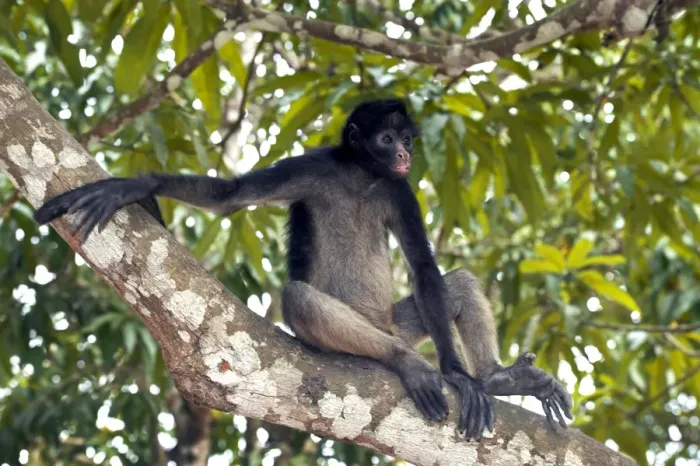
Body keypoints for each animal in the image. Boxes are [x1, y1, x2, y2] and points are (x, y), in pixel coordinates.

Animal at [34, 99, 572, 439]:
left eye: (406, 140)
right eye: (386, 137)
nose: (403, 152)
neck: (360, 177)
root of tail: (380, 327)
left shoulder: (399, 188)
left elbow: (425, 268)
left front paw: (461, 376)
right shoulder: (315, 168)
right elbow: (231, 196)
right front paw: (132, 187)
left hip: (398, 320)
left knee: (453, 282)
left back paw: (496, 379)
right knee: (299, 297)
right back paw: (408, 362)